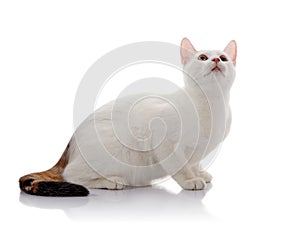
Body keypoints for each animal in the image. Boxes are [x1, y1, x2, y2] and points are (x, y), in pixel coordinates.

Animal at [19, 38, 238, 197]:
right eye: (203, 57)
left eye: (223, 57)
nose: (216, 61)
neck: (213, 105)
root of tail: (70, 144)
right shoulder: (165, 142)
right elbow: (181, 167)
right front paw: (191, 180)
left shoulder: (196, 151)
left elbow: (194, 163)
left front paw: (200, 173)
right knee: (71, 175)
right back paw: (112, 181)